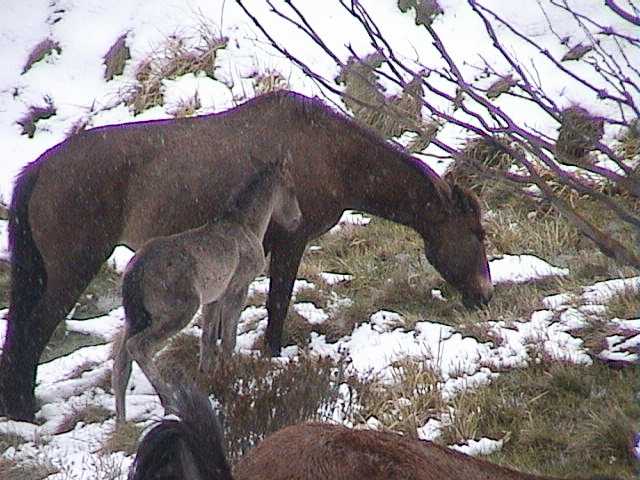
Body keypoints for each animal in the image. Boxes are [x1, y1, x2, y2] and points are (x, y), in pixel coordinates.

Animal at [1, 91, 490, 420]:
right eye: (477, 233)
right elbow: (277, 304)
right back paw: (24, 409)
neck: (332, 154)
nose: (484, 295)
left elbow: (222, 325)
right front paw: (270, 358)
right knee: (32, 330)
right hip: (74, 267)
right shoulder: (291, 242)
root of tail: (39, 169)